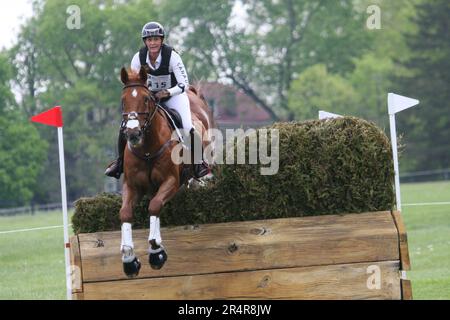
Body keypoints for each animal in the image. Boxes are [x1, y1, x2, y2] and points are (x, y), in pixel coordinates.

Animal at [116, 66, 214, 276]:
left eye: (146, 99)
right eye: (123, 101)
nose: (133, 133)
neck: (147, 149)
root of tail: (194, 94)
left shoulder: (171, 182)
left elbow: (154, 205)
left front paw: (156, 252)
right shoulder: (132, 186)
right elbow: (125, 213)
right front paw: (129, 260)